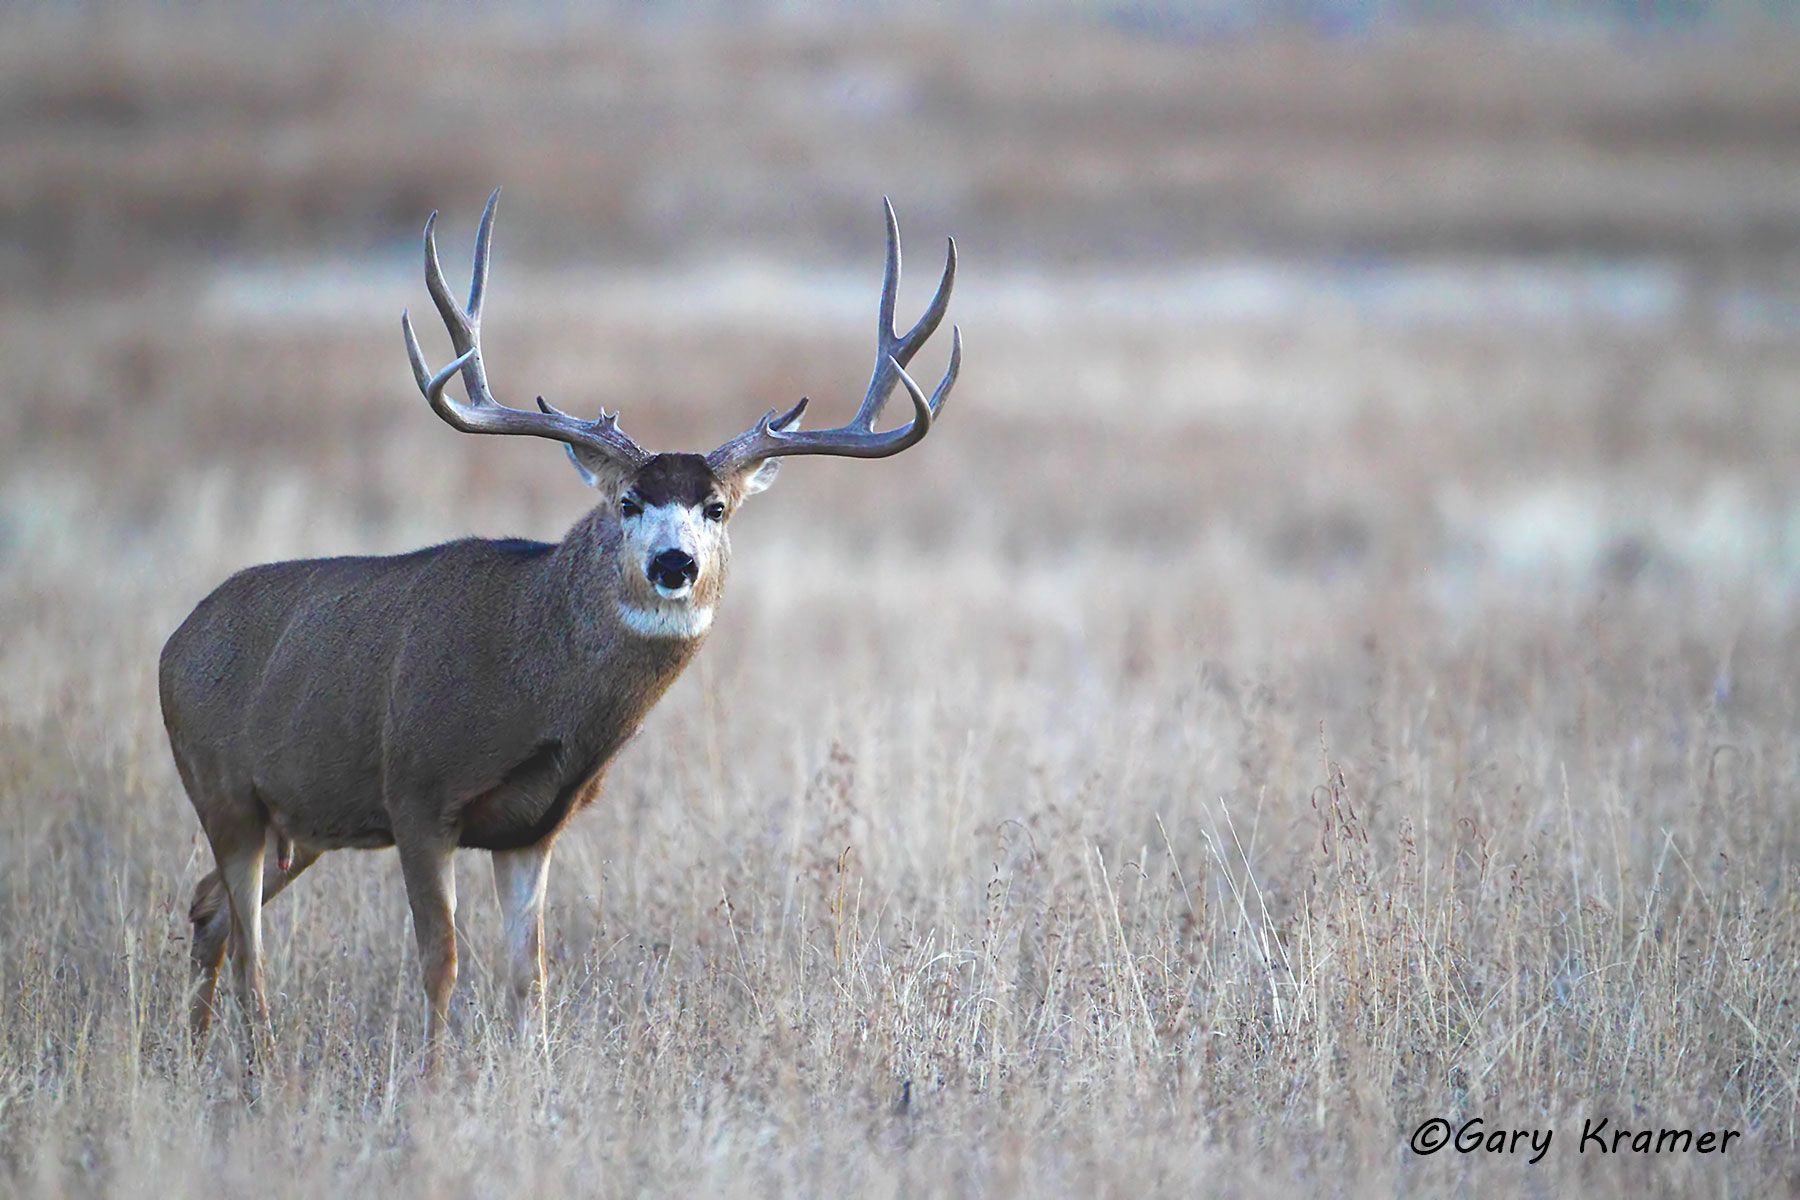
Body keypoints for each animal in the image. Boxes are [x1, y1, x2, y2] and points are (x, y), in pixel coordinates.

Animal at [159, 190, 958, 1067]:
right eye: (629, 501)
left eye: (716, 507)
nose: (674, 563)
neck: (531, 682)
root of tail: (176, 641)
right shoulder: (416, 791)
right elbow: (441, 961)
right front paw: (433, 1079)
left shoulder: (533, 826)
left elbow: (528, 975)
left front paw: (529, 1075)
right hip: (224, 789)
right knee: (247, 938)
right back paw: (254, 1063)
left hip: (298, 823)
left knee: (208, 908)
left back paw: (199, 1052)